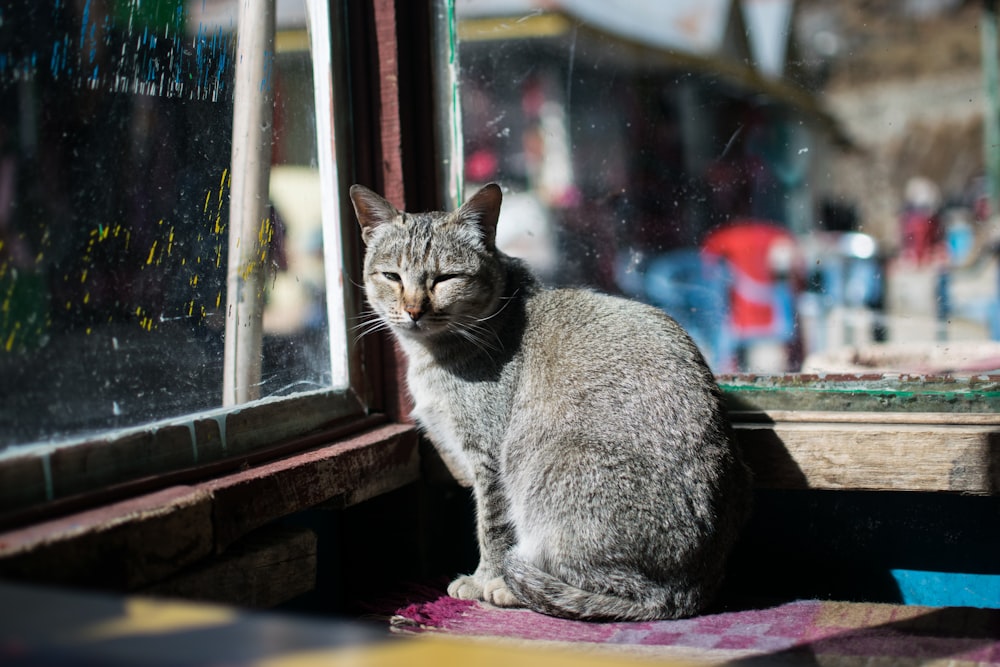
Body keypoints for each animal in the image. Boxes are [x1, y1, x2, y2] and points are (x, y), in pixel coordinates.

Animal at [352, 183, 752, 620]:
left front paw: (482, 580)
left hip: (547, 471)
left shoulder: (490, 459)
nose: (413, 310)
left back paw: (509, 589)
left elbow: (492, 529)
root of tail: (690, 591)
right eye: (391, 276)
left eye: (446, 278)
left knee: (606, 589)